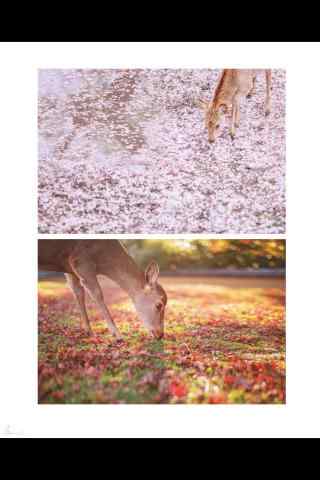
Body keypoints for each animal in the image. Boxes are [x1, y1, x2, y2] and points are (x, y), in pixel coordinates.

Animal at [37, 242, 168, 340]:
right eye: (159, 305)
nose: (160, 334)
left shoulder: (70, 268)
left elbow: (78, 293)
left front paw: (88, 331)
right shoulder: (81, 260)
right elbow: (97, 293)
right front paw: (118, 335)